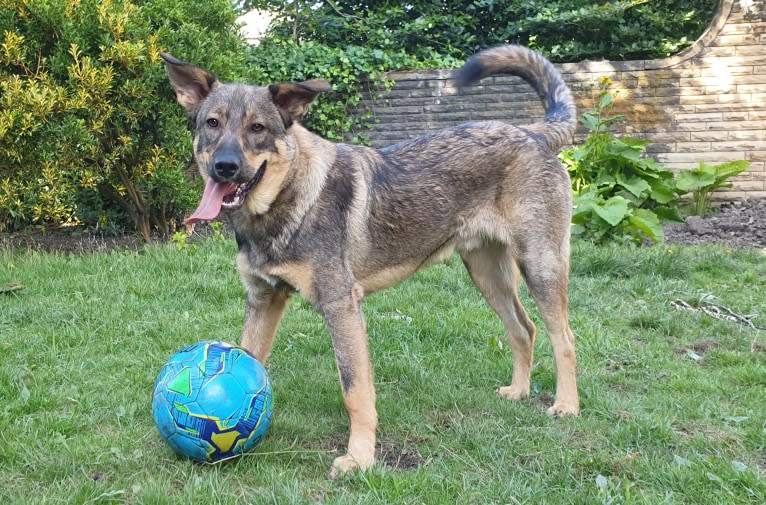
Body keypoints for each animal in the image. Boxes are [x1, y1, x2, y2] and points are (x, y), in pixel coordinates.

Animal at [164, 44, 584, 476]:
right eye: (212, 123)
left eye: (258, 128)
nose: (224, 167)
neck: (287, 198)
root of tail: (532, 133)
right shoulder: (264, 299)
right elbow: (249, 361)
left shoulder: (341, 306)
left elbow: (355, 392)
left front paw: (360, 457)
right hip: (488, 276)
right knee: (523, 329)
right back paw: (519, 391)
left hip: (540, 267)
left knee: (564, 338)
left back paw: (566, 405)